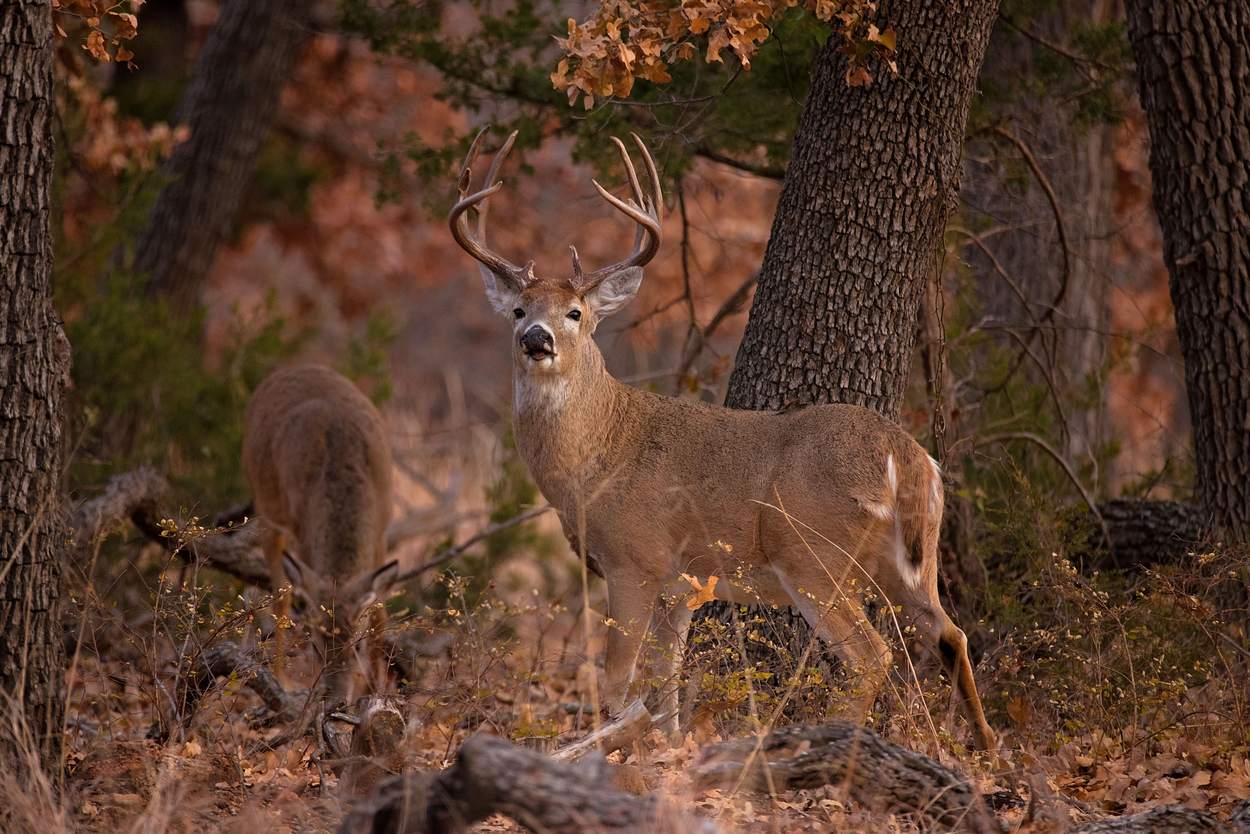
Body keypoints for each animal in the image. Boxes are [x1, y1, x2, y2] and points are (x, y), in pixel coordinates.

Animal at [241, 362, 397, 700]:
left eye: (357, 646)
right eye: (315, 645)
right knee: (281, 594)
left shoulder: (382, 530)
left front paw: (375, 690)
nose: (336, 700)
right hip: (265, 505)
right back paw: (280, 679)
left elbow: (380, 611)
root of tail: (290, 367)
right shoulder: (302, 532)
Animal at [450, 128, 995, 750]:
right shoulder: (681, 587)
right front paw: (670, 751)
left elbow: (617, 686)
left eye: (576, 312)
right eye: (518, 309)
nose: (536, 338)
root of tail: (905, 454)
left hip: (812, 553)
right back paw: (985, 748)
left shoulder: (634, 558)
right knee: (951, 634)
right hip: (911, 559)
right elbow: (664, 692)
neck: (597, 461)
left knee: (872, 656)